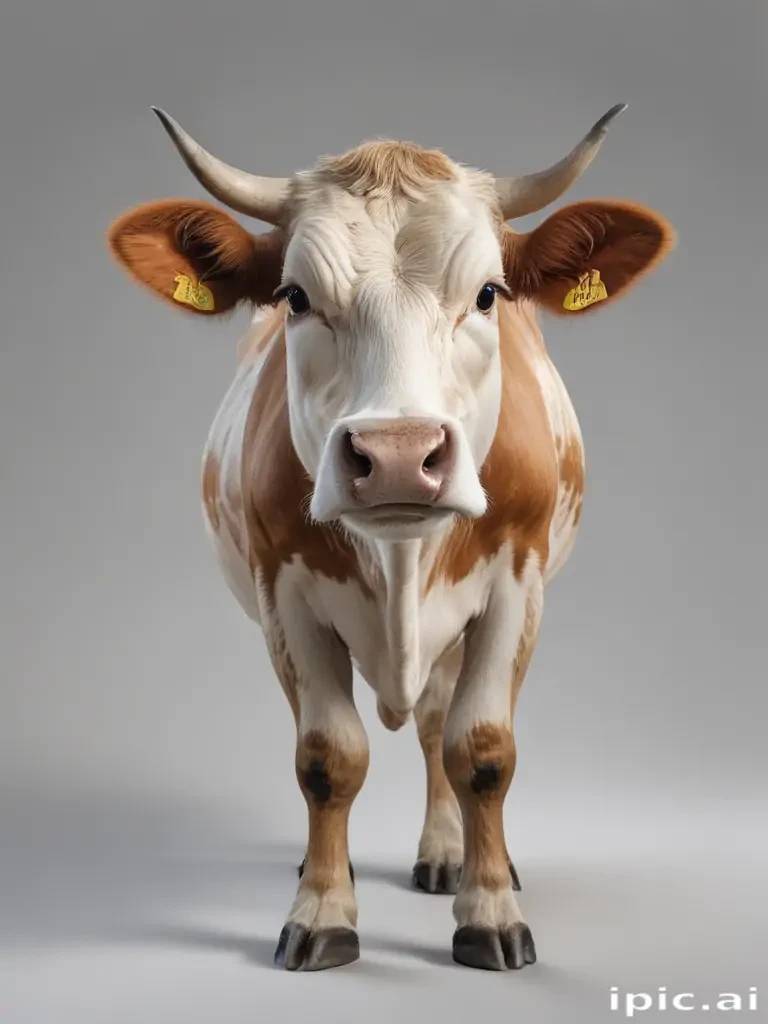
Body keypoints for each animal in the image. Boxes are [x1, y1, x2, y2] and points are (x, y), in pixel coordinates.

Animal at [107, 103, 675, 973]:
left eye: (487, 294)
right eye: (295, 296)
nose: (401, 454)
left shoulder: (516, 584)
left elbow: (482, 749)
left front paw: (490, 911)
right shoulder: (285, 596)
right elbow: (326, 758)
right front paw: (322, 910)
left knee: (439, 724)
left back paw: (453, 854)